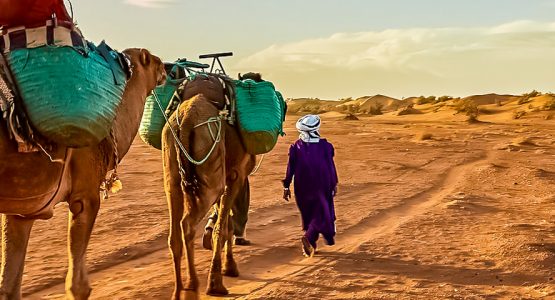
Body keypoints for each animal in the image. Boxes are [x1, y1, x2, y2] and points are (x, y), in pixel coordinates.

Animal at [0, 48, 165, 298]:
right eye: (154, 61)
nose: (168, 68)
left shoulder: (23, 210)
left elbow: (9, 287)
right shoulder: (85, 196)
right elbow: (77, 286)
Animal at [161, 75, 256, 298]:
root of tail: (187, 118)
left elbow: (225, 223)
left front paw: (227, 267)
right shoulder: (235, 176)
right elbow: (223, 227)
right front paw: (221, 277)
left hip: (171, 171)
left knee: (174, 235)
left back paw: (179, 290)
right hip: (211, 172)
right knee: (187, 223)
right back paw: (195, 284)